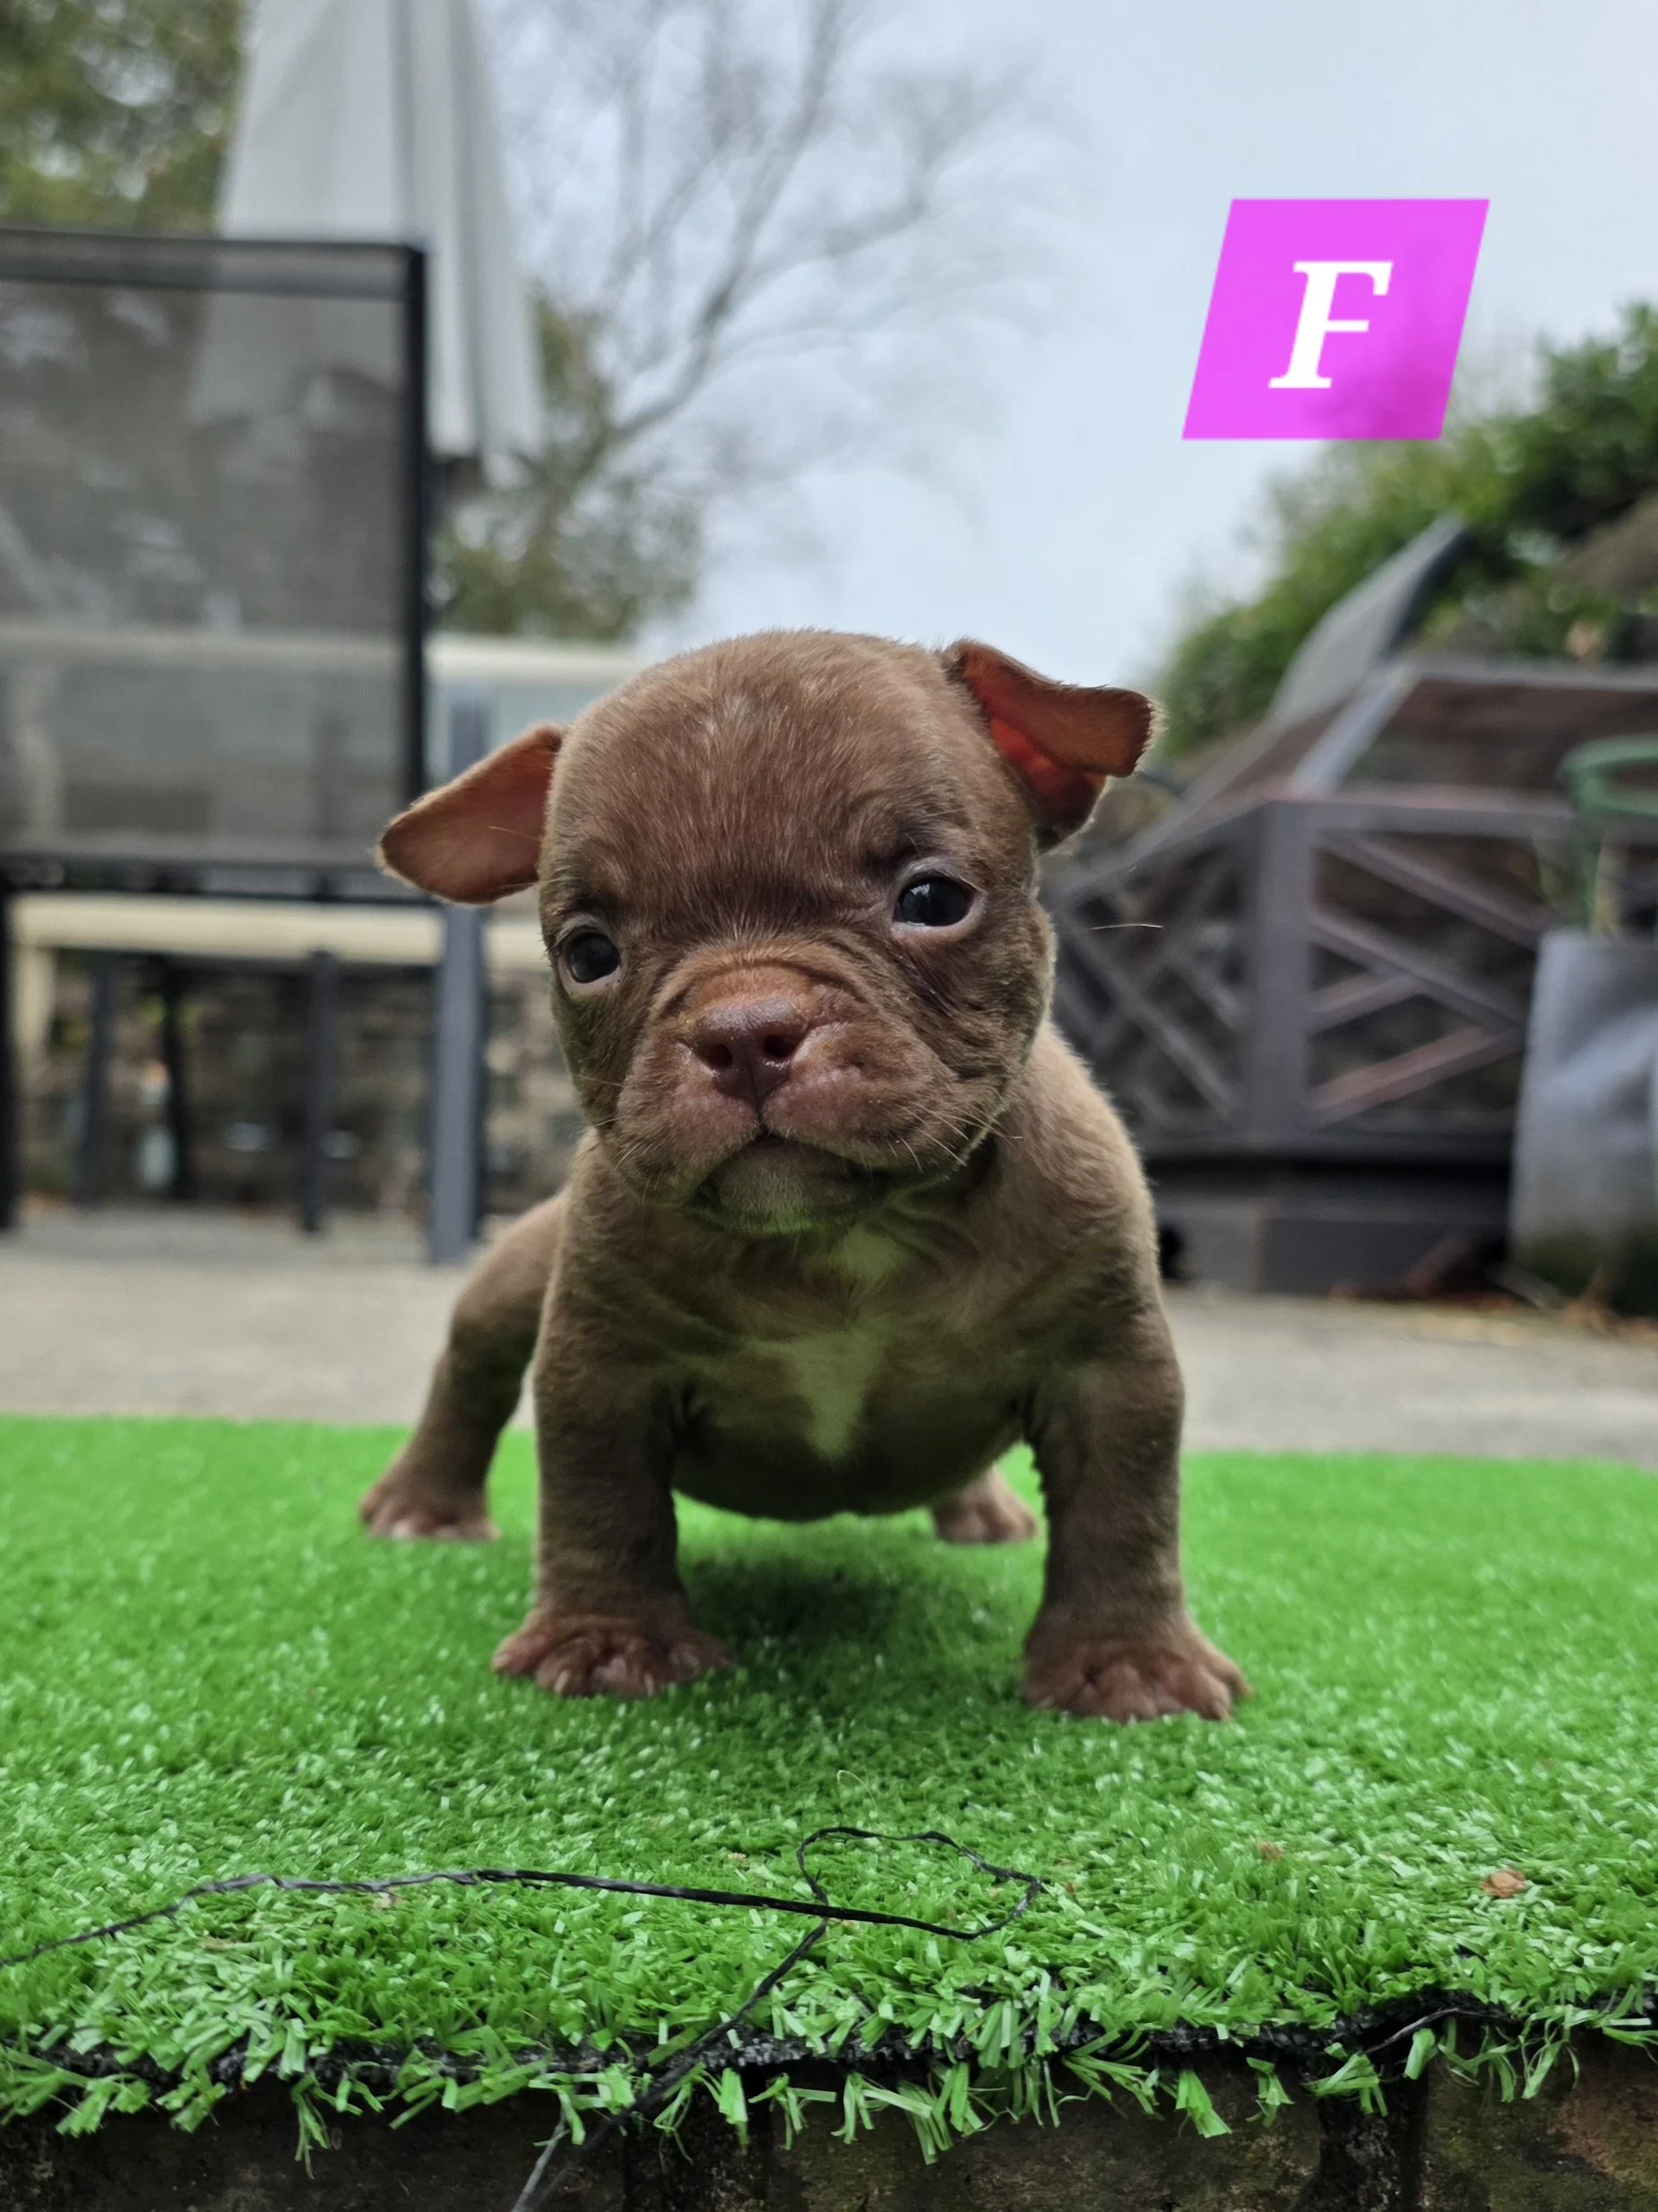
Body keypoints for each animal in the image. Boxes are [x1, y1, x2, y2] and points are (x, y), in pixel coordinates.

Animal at [359, 631, 1247, 1722]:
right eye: (588, 954)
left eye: (932, 900)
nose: (744, 1030)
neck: (846, 1235)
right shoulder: (601, 1367)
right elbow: (601, 1502)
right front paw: (608, 1639)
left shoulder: (1107, 1366)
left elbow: (1125, 1512)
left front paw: (1127, 1661)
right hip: (516, 1276)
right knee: (470, 1370)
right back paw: (422, 1506)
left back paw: (980, 1512)